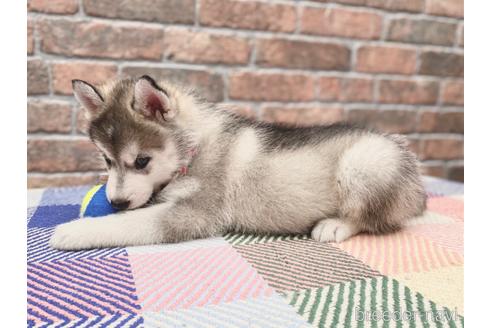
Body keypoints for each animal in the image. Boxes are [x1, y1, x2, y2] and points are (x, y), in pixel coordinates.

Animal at [49, 75, 426, 250]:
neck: (195, 148)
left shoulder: (195, 214)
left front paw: (74, 230)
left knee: (371, 218)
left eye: (142, 160)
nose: (116, 201)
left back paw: (334, 225)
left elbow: (131, 223)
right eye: (106, 159)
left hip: (365, 162)